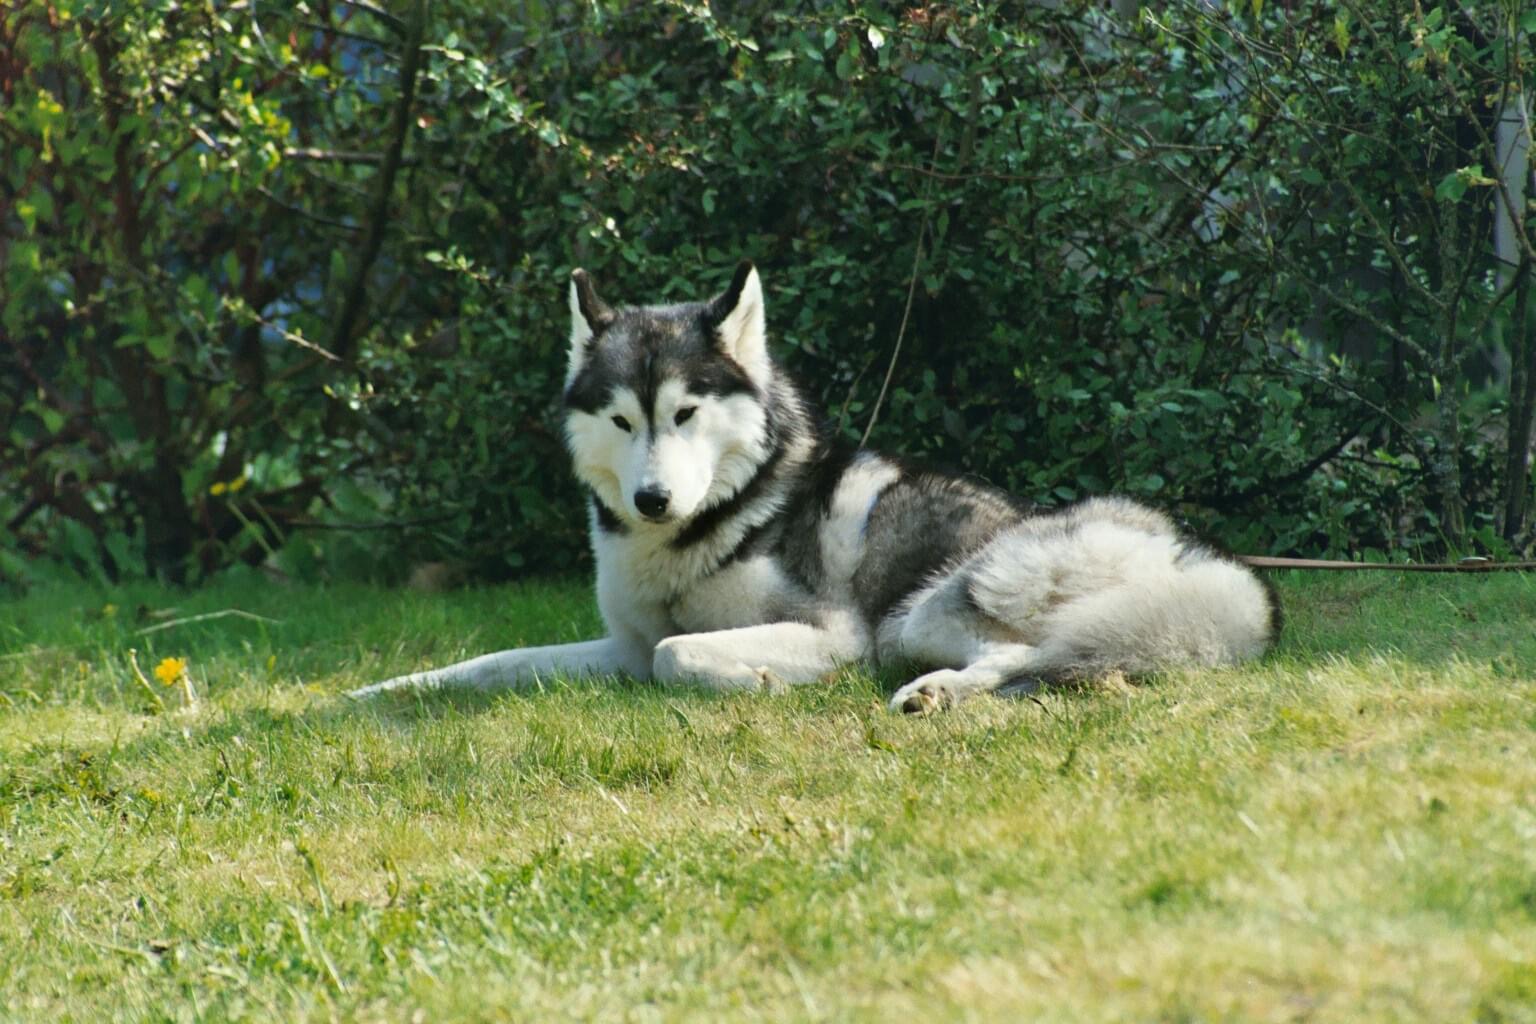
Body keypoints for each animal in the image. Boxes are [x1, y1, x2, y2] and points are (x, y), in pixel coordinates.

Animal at [353, 262, 1277, 712]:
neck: (713, 524)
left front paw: (754, 680)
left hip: (923, 609)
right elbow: (487, 662)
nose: (652, 499)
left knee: (1023, 655)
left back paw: (934, 694)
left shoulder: (833, 633)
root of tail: (1206, 567)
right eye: (621, 419)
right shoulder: (617, 648)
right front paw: (379, 693)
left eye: (685, 413)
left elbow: (678, 654)